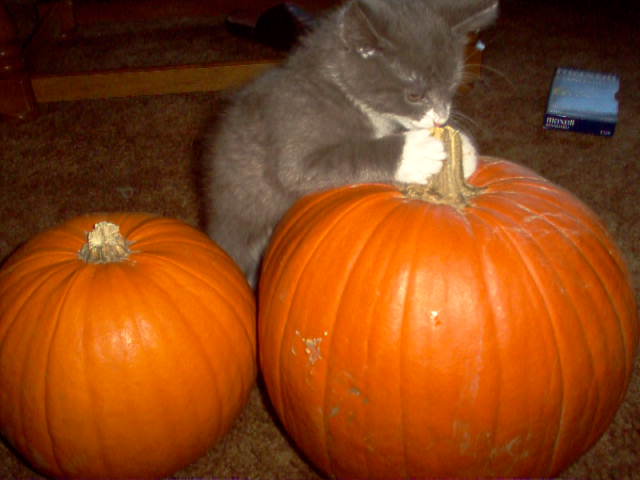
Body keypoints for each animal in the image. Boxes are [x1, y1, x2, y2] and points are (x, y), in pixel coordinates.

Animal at [200, 0, 499, 287]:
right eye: (414, 96)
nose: (441, 117)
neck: (338, 88)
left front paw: (464, 149)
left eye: (452, 87)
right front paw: (417, 153)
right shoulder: (295, 122)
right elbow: (325, 162)